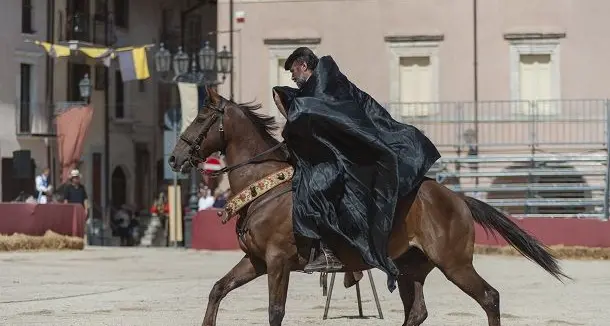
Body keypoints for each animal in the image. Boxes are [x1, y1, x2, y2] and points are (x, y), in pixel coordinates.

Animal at [166, 87, 564, 326]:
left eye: (201, 118)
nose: (174, 157)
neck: (262, 188)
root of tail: (456, 197)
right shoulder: (257, 261)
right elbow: (218, 289)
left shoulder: (277, 262)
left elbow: (275, 312)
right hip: (410, 269)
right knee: (418, 311)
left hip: (455, 264)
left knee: (489, 298)